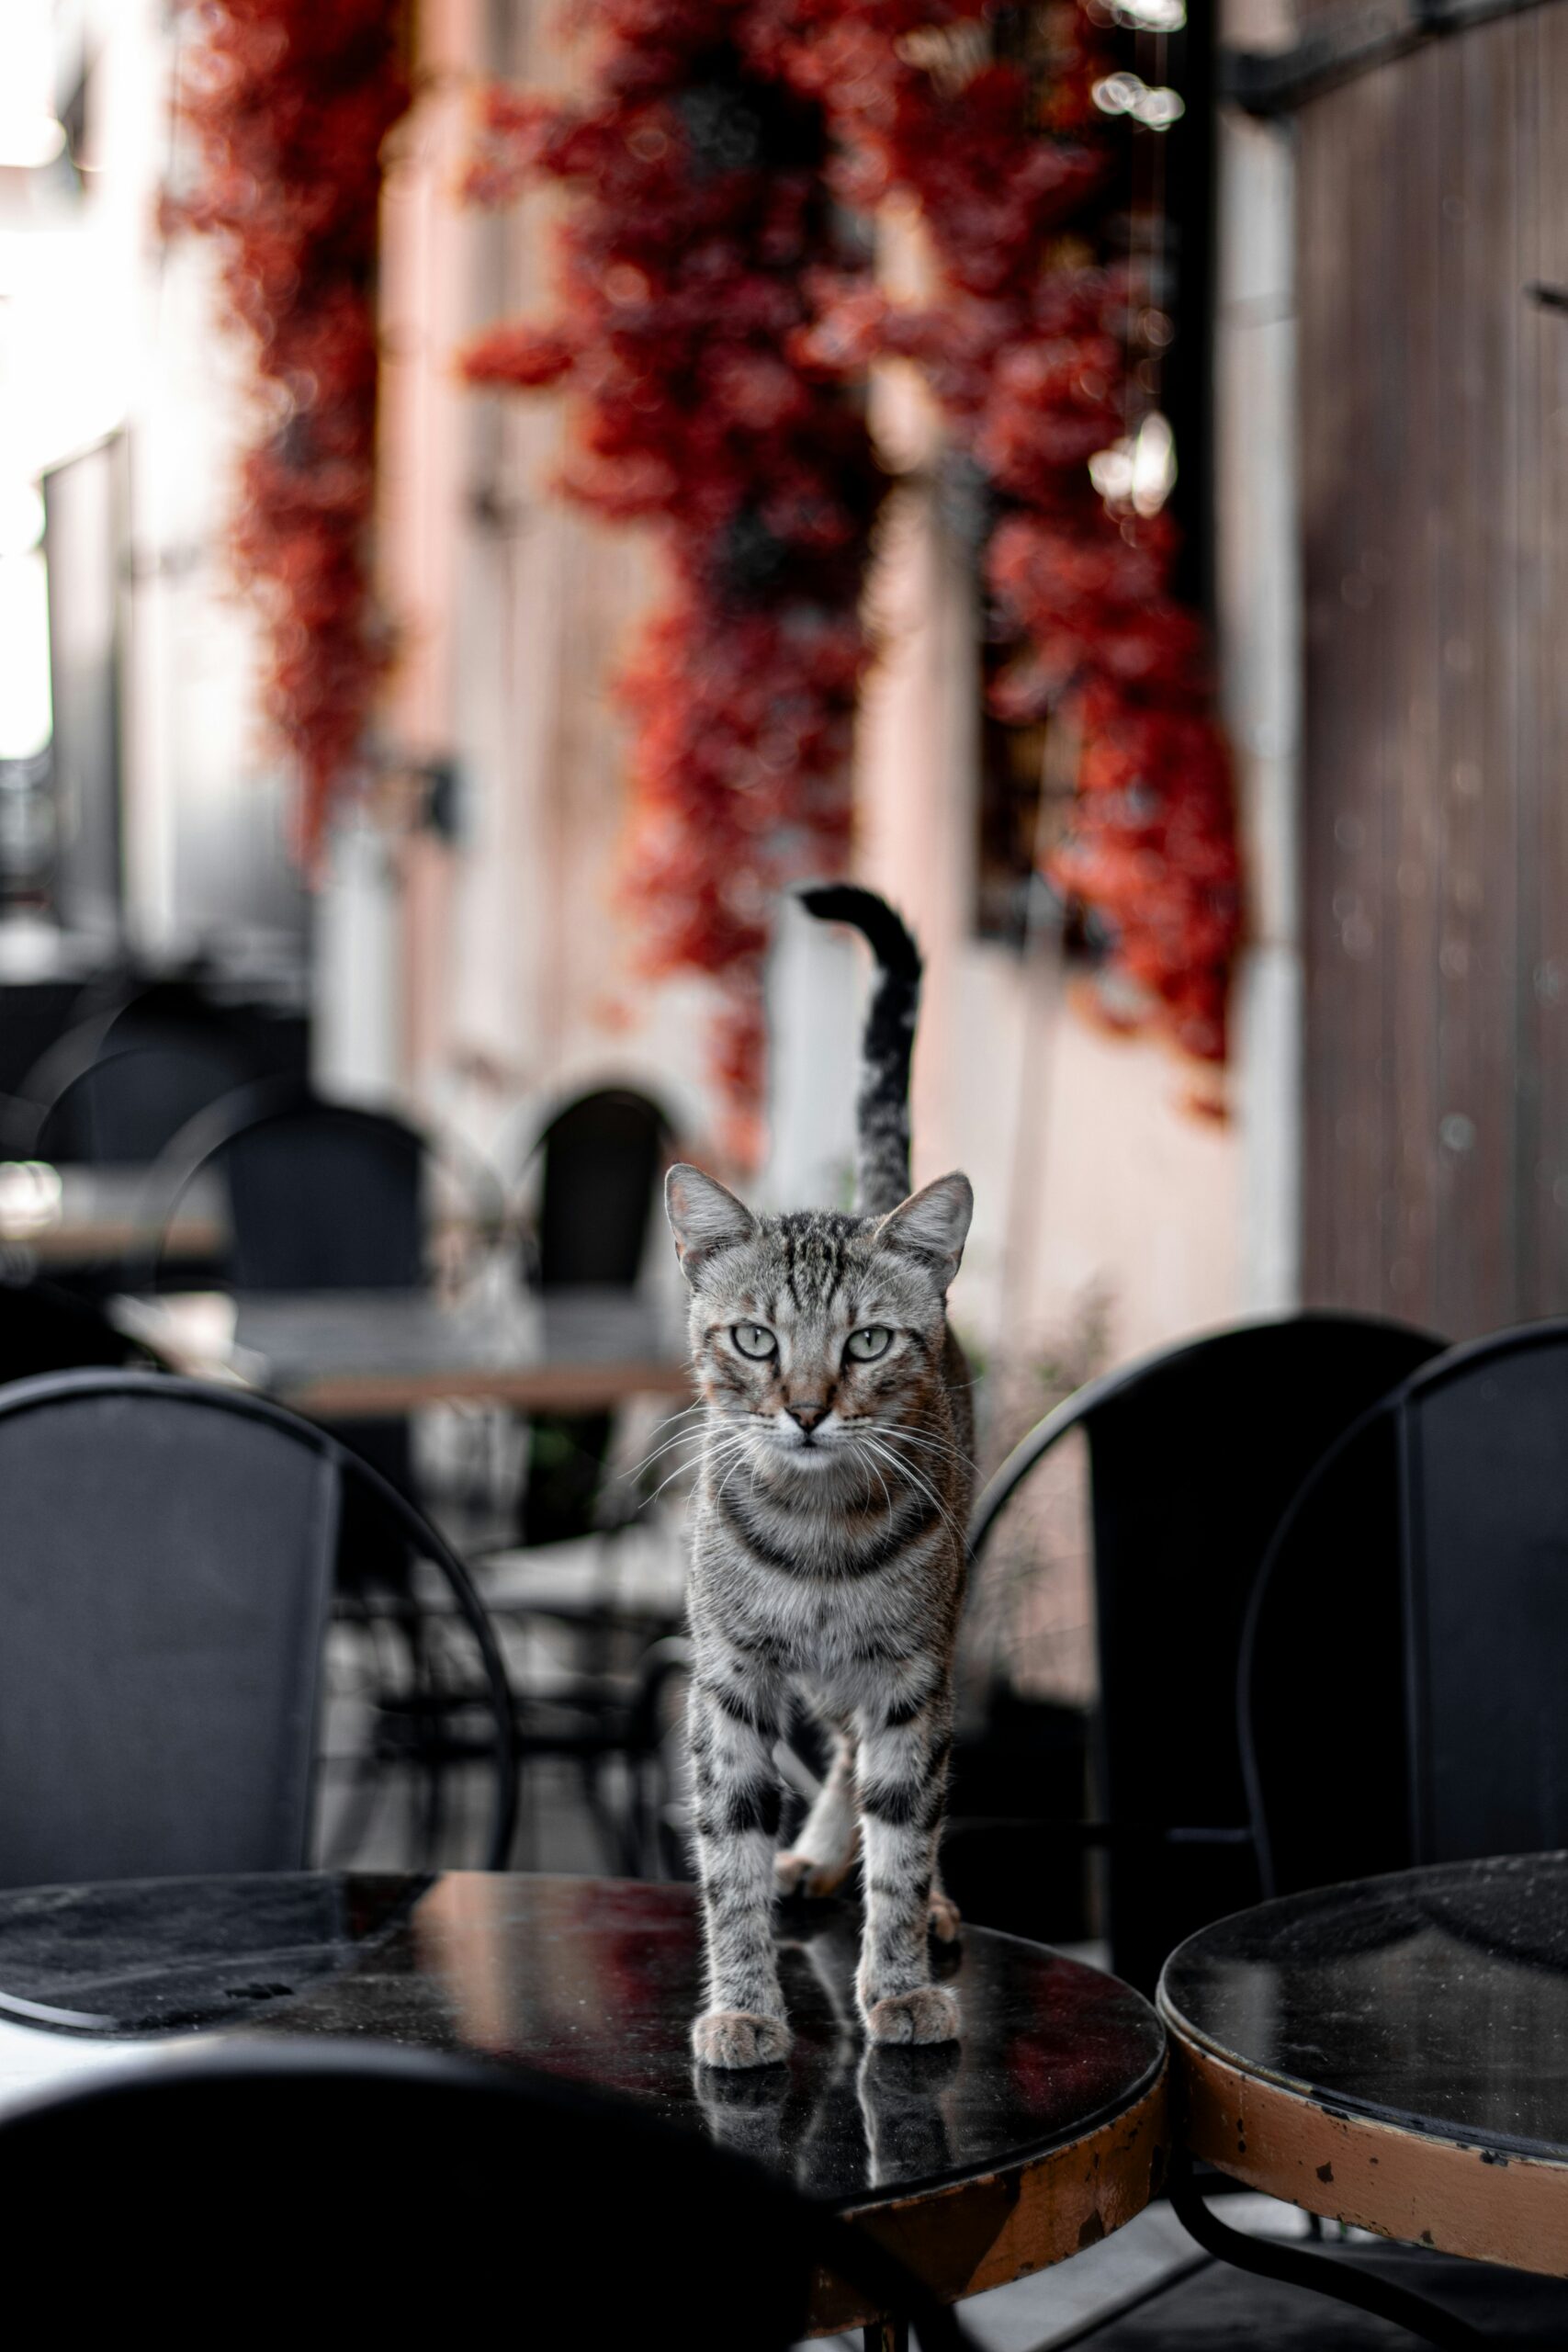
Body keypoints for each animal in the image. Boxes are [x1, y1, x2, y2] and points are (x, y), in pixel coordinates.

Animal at [667, 888, 982, 2069]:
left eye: (869, 1342)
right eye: (755, 1339)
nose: (805, 1409)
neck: (817, 1531)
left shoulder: (909, 1671)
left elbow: (903, 1832)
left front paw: (897, 1981)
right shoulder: (728, 1679)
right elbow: (728, 1859)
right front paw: (746, 2003)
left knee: (876, 1770)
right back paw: (809, 1853)